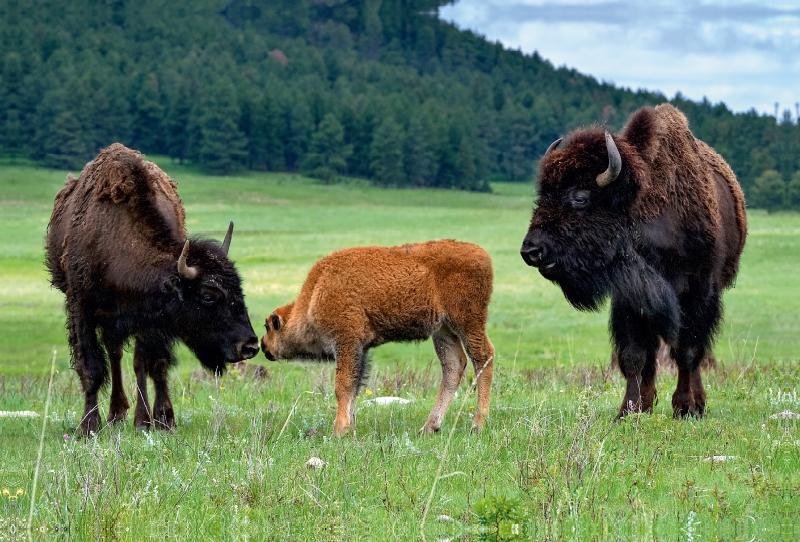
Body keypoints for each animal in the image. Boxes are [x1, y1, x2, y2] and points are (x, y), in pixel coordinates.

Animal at [46, 142, 260, 436]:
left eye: (239, 289)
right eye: (208, 296)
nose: (249, 345)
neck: (117, 240)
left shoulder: (153, 319)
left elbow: (152, 365)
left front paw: (159, 420)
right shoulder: (82, 307)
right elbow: (91, 367)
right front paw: (88, 426)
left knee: (132, 361)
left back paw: (133, 416)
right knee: (114, 356)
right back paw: (116, 415)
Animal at [260, 242, 494, 438]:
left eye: (267, 327)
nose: (262, 345)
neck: (315, 293)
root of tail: (483, 255)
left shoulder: (346, 341)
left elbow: (343, 385)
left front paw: (339, 430)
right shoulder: (360, 350)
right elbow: (354, 387)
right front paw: (350, 426)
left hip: (467, 322)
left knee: (483, 358)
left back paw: (478, 425)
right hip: (444, 330)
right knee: (454, 365)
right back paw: (430, 427)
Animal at [520, 106, 748, 420]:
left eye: (580, 197)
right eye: (542, 195)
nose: (531, 250)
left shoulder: (698, 290)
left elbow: (687, 349)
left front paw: (684, 406)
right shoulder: (629, 297)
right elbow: (634, 355)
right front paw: (628, 410)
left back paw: (696, 403)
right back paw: (649, 402)